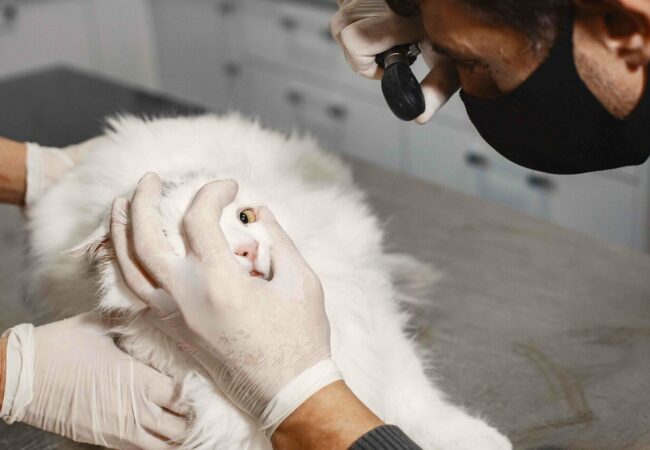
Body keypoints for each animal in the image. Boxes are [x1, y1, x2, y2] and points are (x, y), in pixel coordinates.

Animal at [26, 114, 512, 448]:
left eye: (245, 218)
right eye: (193, 241)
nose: (246, 250)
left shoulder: (372, 319)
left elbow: (411, 392)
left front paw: (475, 438)